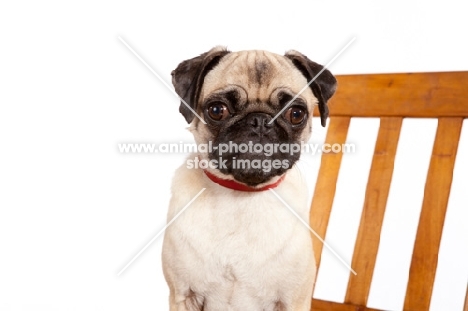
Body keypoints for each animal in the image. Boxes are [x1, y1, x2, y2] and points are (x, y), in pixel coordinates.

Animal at [162, 47, 336, 311]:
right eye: (217, 110)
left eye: (296, 114)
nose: (260, 120)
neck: (242, 193)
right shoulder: (183, 295)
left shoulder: (293, 300)